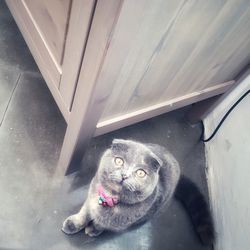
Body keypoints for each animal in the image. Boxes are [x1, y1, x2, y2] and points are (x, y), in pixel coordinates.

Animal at [62, 139, 215, 246]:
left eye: (140, 173)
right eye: (119, 161)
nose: (125, 175)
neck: (109, 197)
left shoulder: (115, 222)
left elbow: (102, 223)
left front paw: (94, 229)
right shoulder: (91, 197)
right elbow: (84, 212)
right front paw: (73, 224)